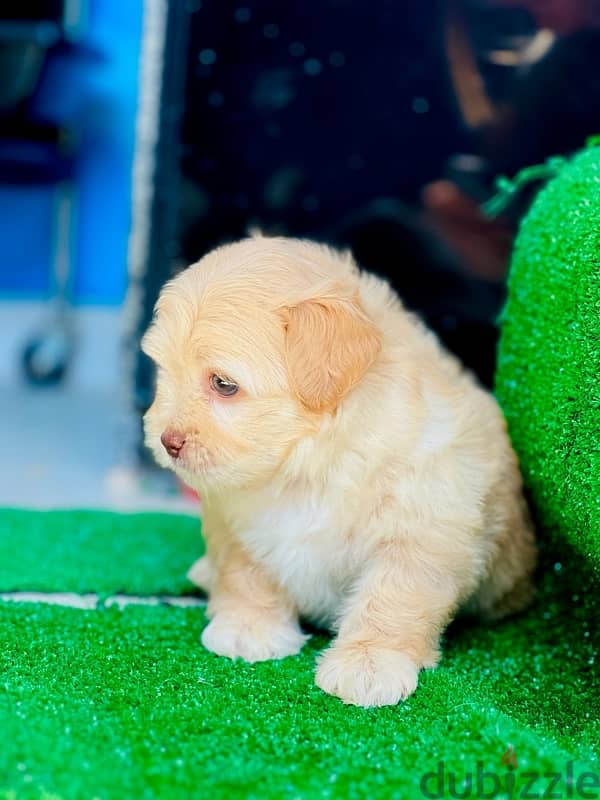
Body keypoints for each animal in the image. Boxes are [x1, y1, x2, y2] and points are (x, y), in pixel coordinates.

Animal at [143, 234, 536, 708]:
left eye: (223, 384)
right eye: (164, 372)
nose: (168, 440)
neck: (308, 464)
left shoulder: (423, 527)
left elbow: (392, 597)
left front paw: (370, 661)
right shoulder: (236, 519)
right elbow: (245, 571)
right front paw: (249, 627)